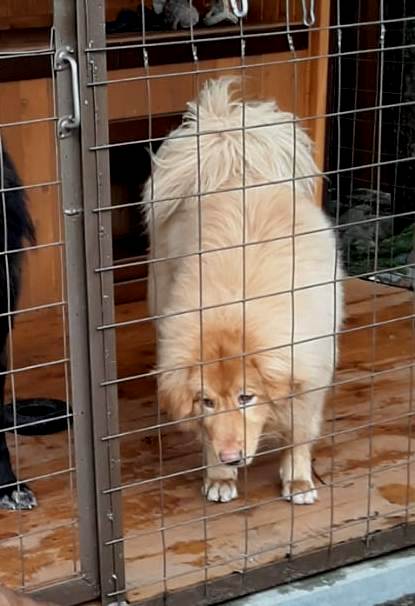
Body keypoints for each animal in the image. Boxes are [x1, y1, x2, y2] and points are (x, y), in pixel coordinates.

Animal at [144, 78, 343, 504]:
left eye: (246, 397)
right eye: (206, 401)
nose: (232, 457)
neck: (234, 308)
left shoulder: (311, 373)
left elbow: (299, 433)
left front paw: (298, 479)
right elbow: (208, 435)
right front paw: (219, 476)